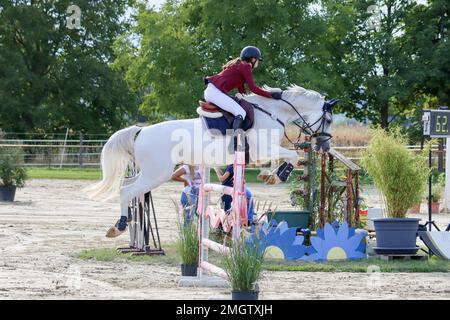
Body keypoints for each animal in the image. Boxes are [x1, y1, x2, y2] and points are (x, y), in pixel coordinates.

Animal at [84, 85, 334, 235]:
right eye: (329, 120)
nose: (324, 146)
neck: (273, 113)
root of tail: (141, 131)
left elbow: (287, 156)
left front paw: (270, 175)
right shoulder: (263, 150)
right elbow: (292, 155)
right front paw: (278, 176)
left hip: (149, 172)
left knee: (125, 186)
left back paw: (122, 223)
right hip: (157, 173)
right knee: (127, 190)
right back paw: (120, 225)